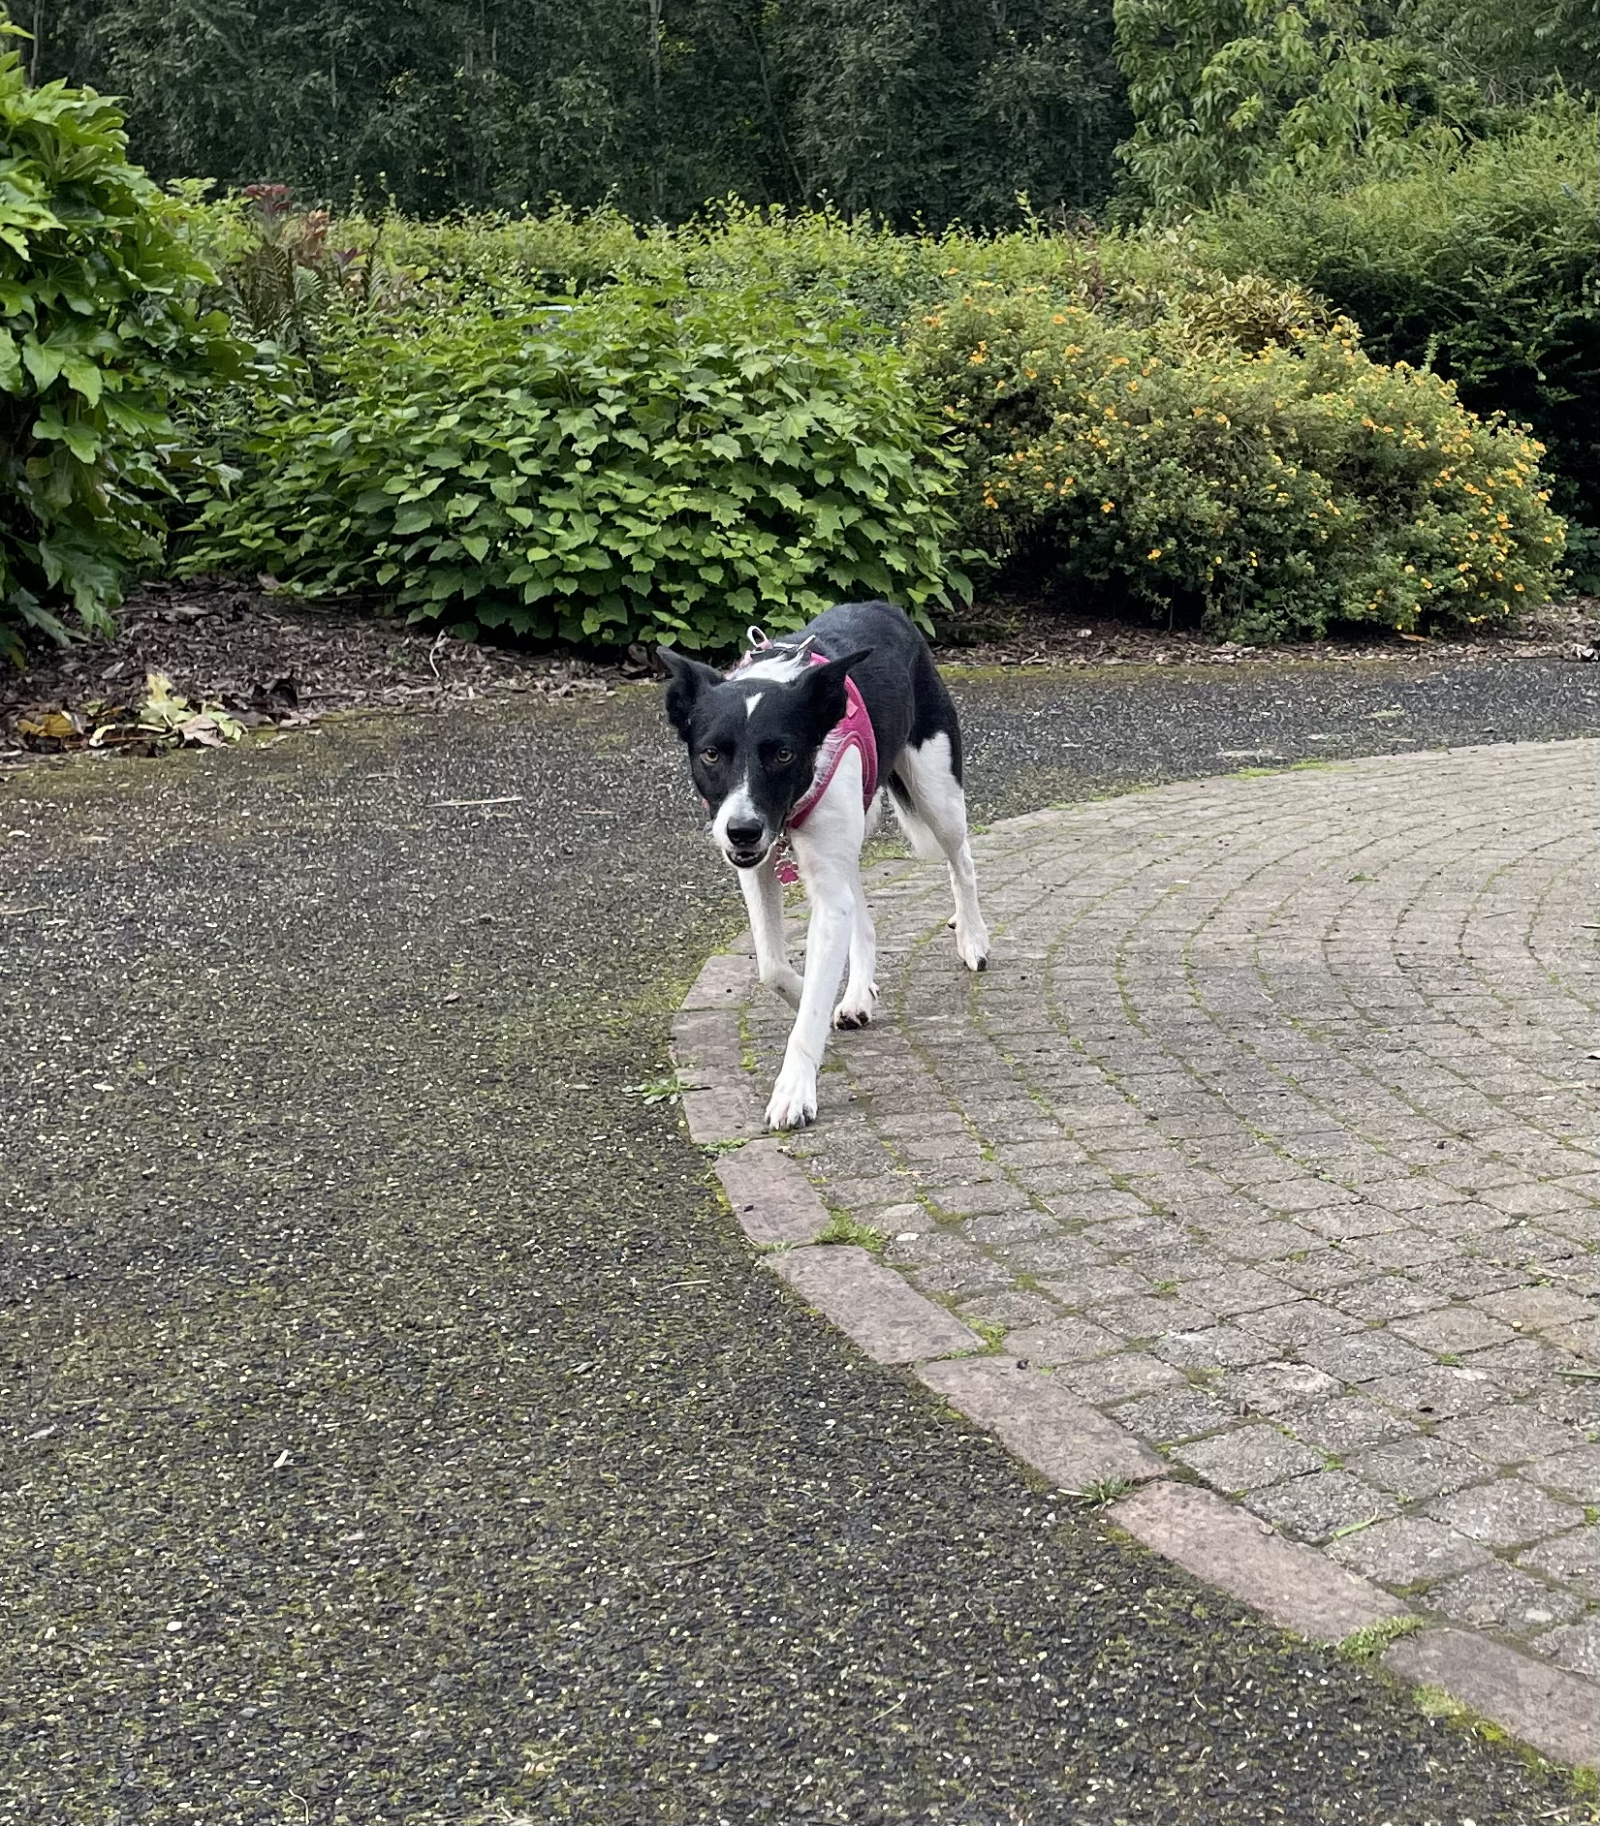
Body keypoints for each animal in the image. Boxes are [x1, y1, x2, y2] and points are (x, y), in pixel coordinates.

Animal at [660, 600, 989, 1130]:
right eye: (710, 753)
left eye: (782, 753)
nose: (742, 831)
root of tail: (881, 606)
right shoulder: (758, 868)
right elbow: (772, 967)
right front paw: (813, 992)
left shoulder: (822, 884)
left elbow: (809, 1010)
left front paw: (795, 1089)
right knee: (862, 915)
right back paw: (855, 995)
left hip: (936, 792)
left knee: (962, 862)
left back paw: (973, 938)